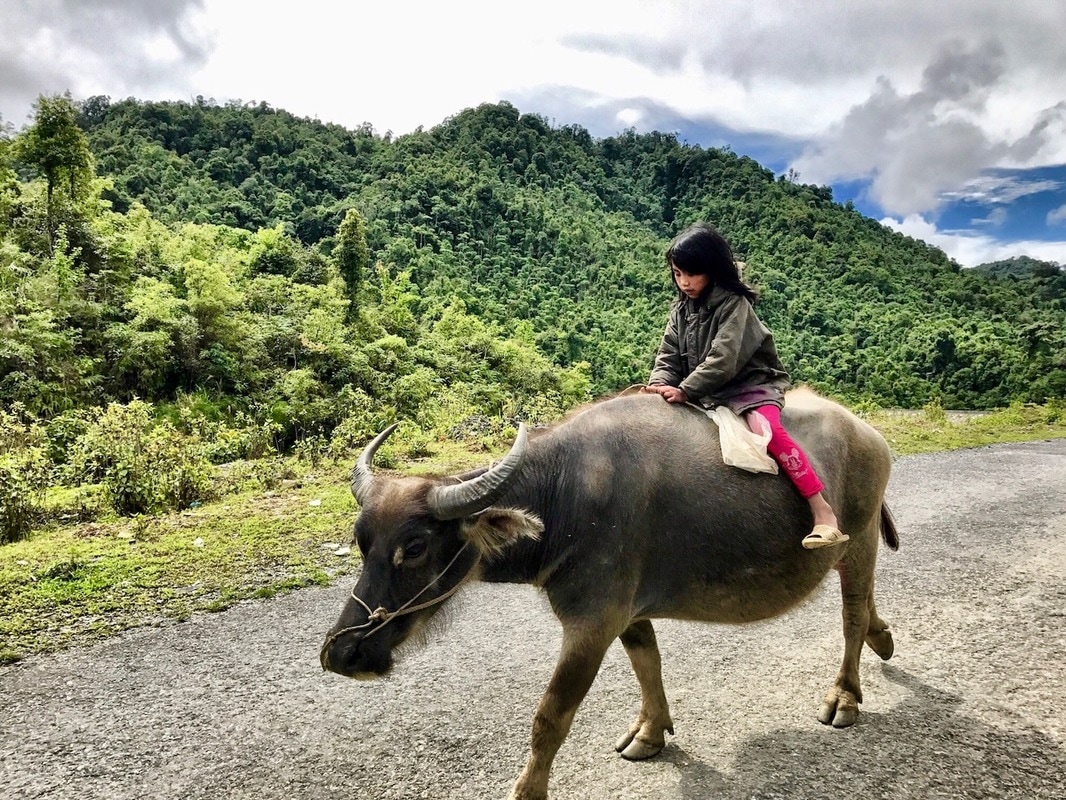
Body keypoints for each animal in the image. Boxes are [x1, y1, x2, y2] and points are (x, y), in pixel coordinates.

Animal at [319, 392, 895, 800]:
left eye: (414, 547)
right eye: (361, 540)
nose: (342, 653)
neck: (563, 497)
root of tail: (870, 434)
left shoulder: (591, 624)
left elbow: (550, 717)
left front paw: (527, 790)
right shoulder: (626, 610)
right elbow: (647, 660)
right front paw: (651, 733)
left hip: (859, 540)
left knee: (850, 612)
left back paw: (845, 695)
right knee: (864, 608)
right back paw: (883, 636)